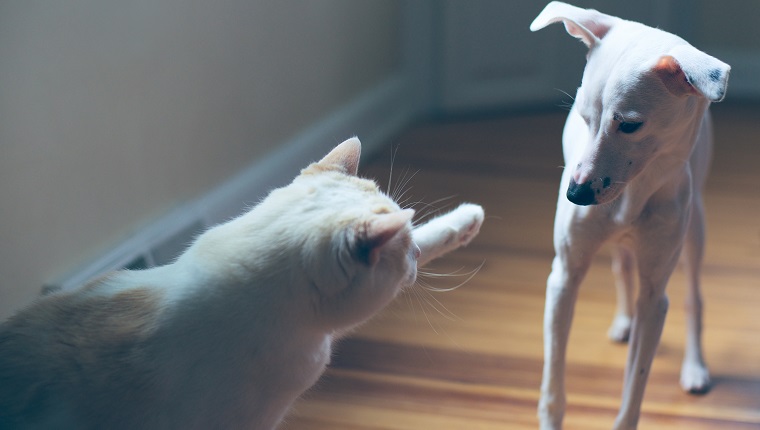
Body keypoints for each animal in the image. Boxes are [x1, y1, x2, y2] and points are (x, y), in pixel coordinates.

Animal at [528, 3, 732, 430]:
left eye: (630, 125)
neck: (632, 195)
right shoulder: (563, 279)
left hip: (695, 229)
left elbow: (633, 390)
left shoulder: (654, 300)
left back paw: (694, 366)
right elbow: (553, 384)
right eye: (582, 116)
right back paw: (623, 321)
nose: (575, 195)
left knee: (693, 297)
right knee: (621, 264)